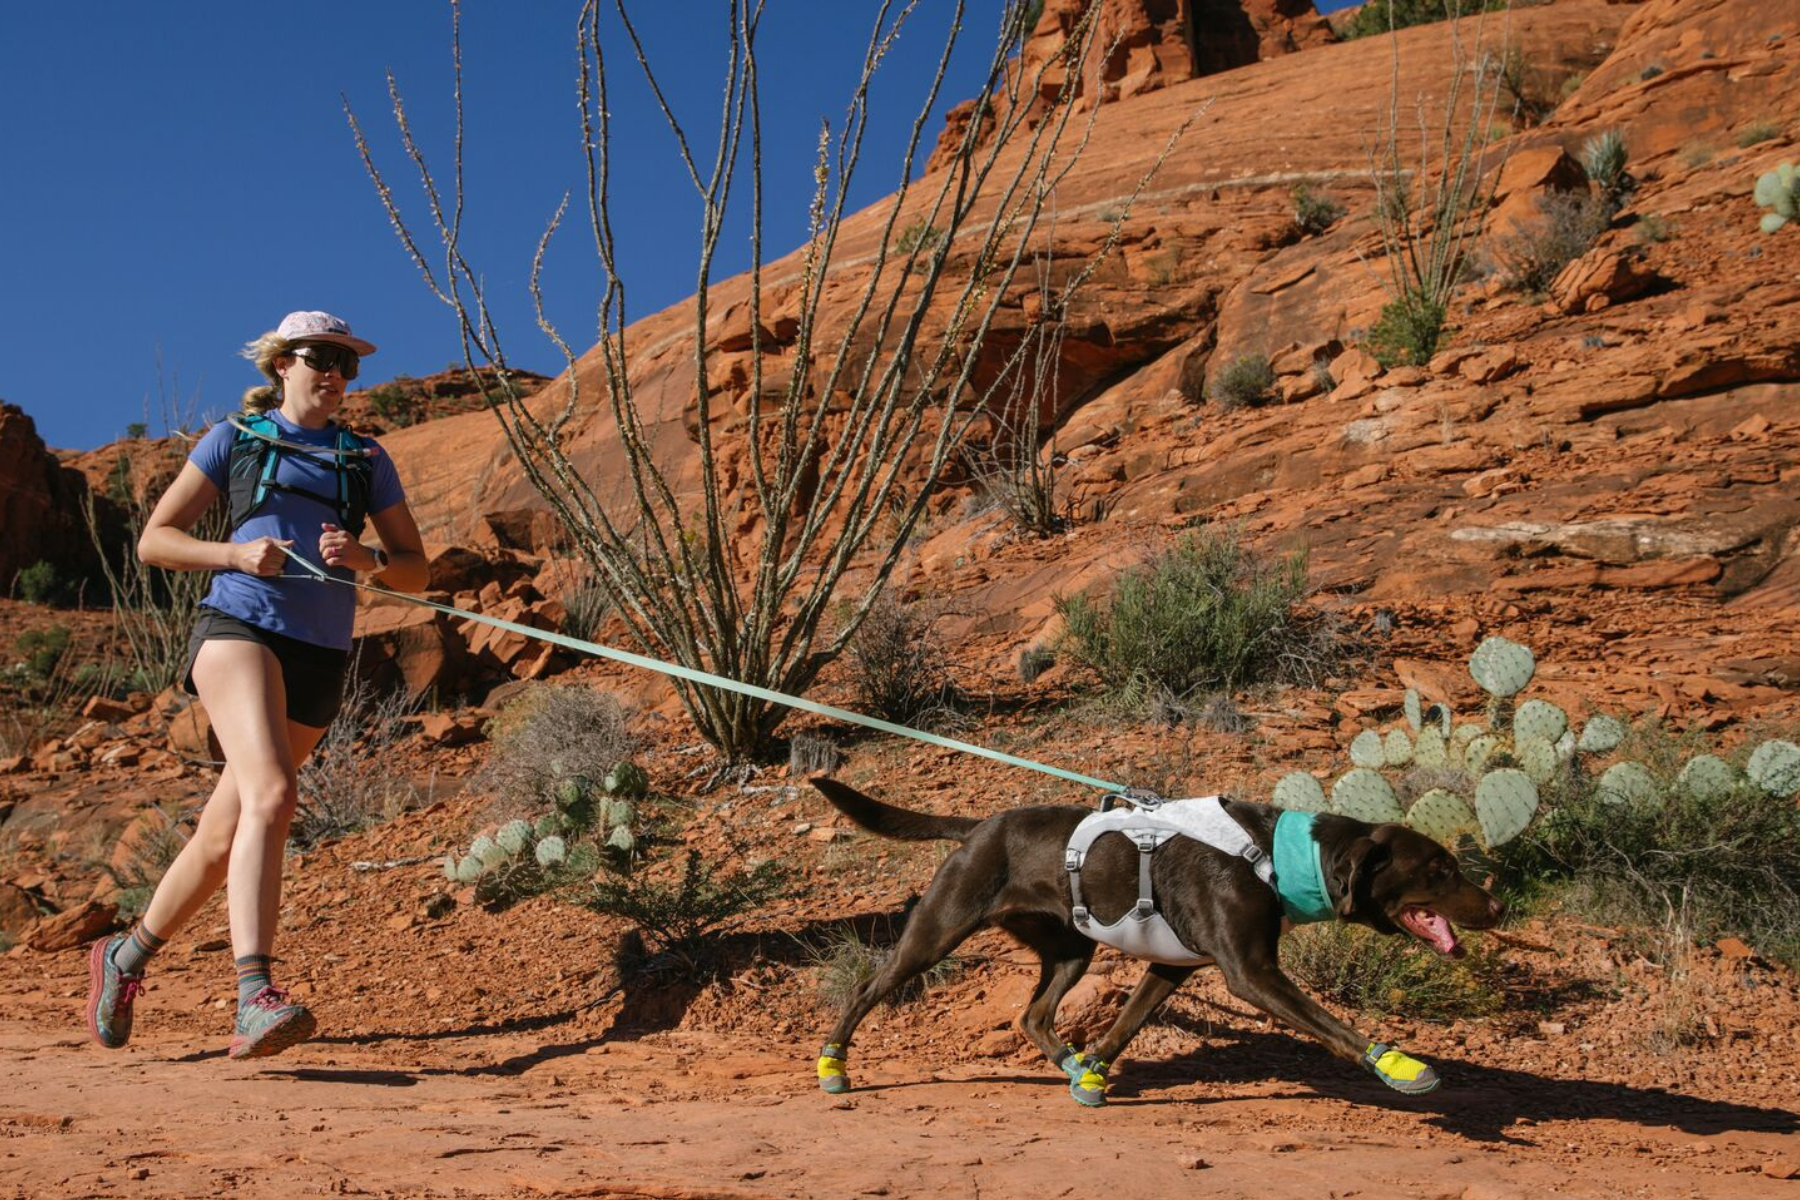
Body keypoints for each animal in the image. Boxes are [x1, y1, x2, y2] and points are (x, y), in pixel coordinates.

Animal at [810, 780, 1497, 1108]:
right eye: (1439, 869)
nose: (1496, 907)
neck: (1275, 858)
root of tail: (979, 827)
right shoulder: (1250, 972)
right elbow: (1332, 1023)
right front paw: (1397, 1064)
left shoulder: (1174, 967)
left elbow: (1122, 1028)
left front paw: (1091, 1076)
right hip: (938, 931)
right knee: (867, 988)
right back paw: (834, 1066)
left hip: (1071, 948)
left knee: (1034, 1014)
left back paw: (1066, 1062)